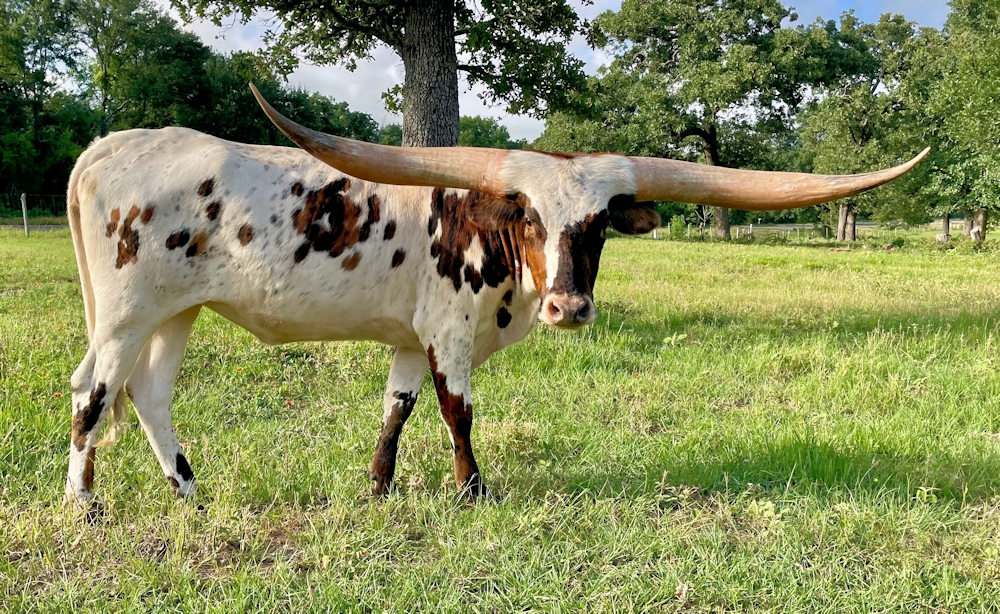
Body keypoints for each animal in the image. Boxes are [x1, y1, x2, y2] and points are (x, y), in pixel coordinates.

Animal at [62, 83, 927, 507]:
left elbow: (396, 409)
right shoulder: (449, 332)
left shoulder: (410, 338)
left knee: (148, 393)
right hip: (126, 313)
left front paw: (378, 489)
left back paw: (189, 493)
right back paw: (85, 504)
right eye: (529, 215)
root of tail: (111, 145)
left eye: (601, 226)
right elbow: (456, 411)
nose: (570, 308)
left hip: (175, 313)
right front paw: (472, 490)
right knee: (93, 390)